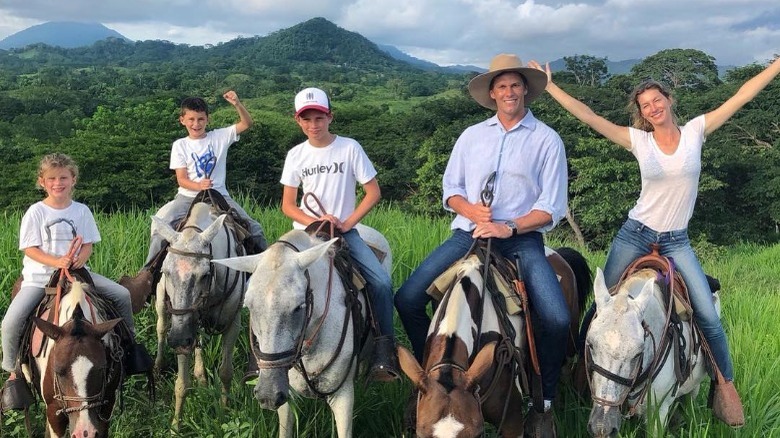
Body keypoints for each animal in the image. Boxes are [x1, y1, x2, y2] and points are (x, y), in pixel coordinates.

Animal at [153, 203, 247, 428]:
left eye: (205, 275)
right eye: (166, 271)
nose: (178, 339)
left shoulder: (233, 323)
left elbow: (226, 372)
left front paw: (224, 410)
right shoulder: (181, 326)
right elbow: (181, 383)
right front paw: (176, 426)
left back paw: (201, 376)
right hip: (162, 304)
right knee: (161, 328)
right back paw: (159, 367)